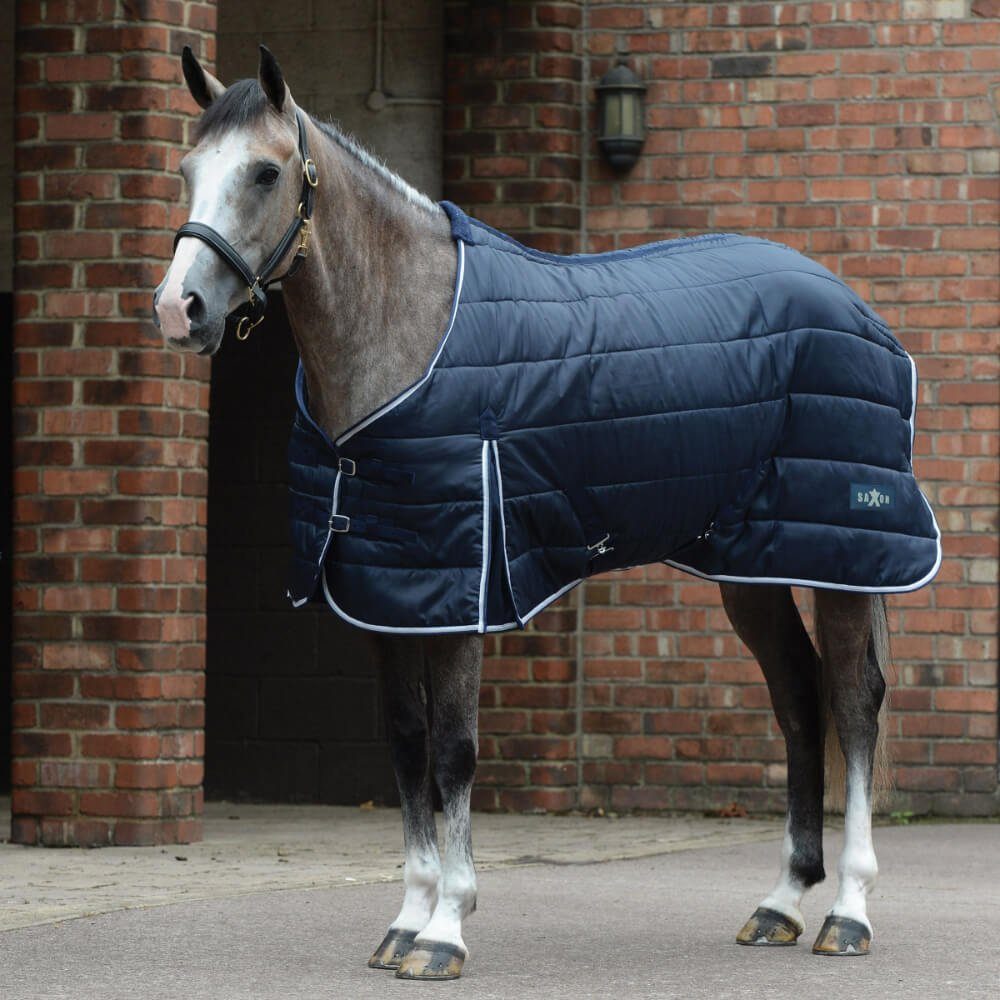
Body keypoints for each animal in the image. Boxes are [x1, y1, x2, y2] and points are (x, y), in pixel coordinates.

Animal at [154, 46, 940, 980]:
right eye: (187, 170)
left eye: (266, 172)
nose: (178, 310)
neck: (409, 336)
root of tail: (856, 308)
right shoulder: (387, 593)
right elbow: (407, 745)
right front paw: (406, 920)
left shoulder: (460, 592)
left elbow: (455, 751)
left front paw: (446, 930)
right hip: (754, 565)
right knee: (798, 698)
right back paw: (780, 902)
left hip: (844, 556)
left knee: (854, 706)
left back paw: (848, 912)